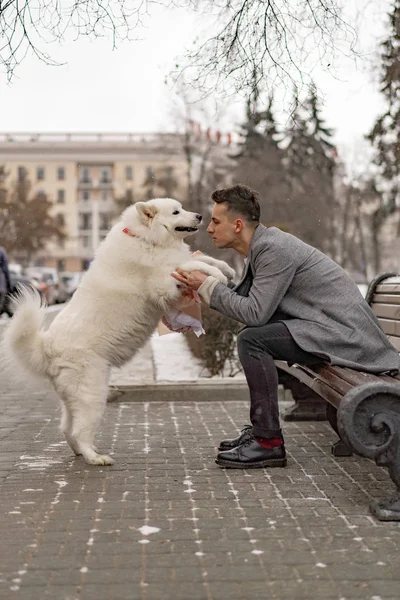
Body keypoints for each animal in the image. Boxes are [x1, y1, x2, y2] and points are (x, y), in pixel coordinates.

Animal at [2, 199, 234, 466]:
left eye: (182, 208)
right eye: (176, 212)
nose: (199, 216)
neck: (146, 238)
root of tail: (46, 347)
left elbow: (203, 257)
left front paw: (226, 268)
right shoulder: (164, 281)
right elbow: (192, 263)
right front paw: (217, 275)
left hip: (73, 400)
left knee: (67, 429)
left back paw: (82, 452)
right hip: (93, 393)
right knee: (79, 431)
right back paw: (96, 458)